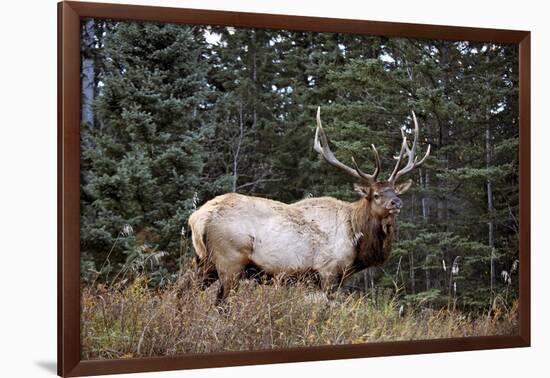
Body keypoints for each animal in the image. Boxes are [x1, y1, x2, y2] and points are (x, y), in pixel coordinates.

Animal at [190, 106, 432, 302]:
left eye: (394, 190)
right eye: (376, 195)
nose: (397, 202)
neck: (357, 239)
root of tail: (198, 217)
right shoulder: (328, 271)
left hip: (205, 262)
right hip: (229, 260)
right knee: (221, 302)